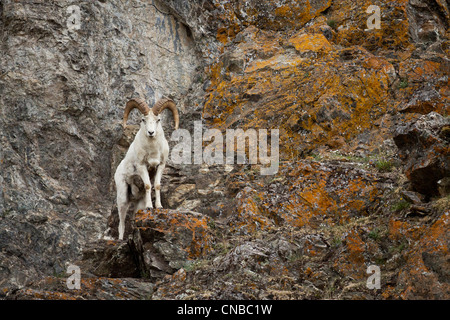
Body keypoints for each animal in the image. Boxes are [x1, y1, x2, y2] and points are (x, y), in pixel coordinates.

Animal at [113, 97, 178, 240]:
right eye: (143, 119)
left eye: (158, 120)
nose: (151, 132)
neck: (153, 150)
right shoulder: (142, 167)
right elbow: (148, 185)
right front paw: (149, 207)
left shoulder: (160, 166)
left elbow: (157, 185)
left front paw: (159, 206)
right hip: (122, 199)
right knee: (121, 223)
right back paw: (120, 239)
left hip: (138, 203)